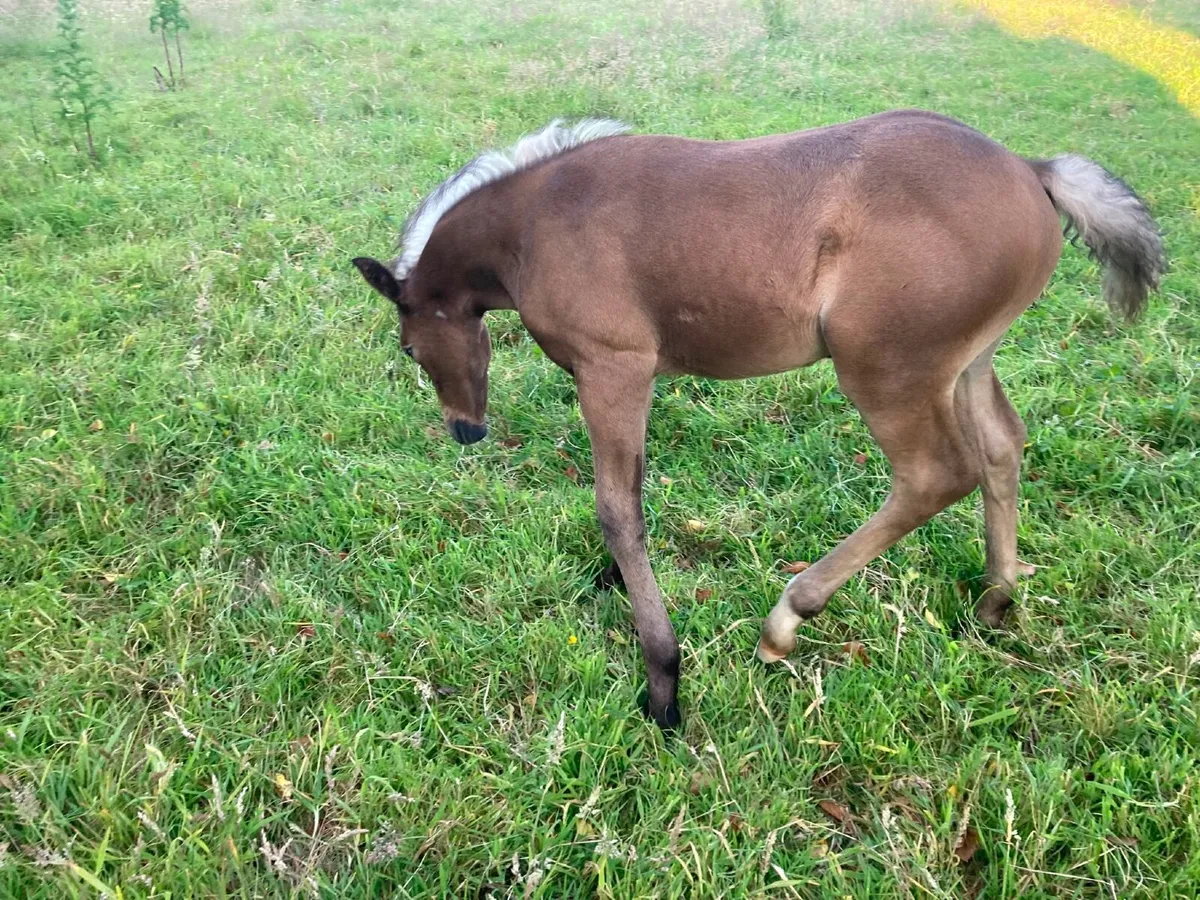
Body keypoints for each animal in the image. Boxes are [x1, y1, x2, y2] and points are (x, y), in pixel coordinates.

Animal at [351, 110, 1164, 729]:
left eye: (409, 345)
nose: (465, 429)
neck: (534, 220)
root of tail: (1031, 168)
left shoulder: (615, 367)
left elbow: (619, 508)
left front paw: (664, 682)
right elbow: (623, 499)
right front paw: (615, 587)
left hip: (888, 368)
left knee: (935, 474)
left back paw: (788, 617)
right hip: (967, 361)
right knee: (1001, 449)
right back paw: (997, 597)